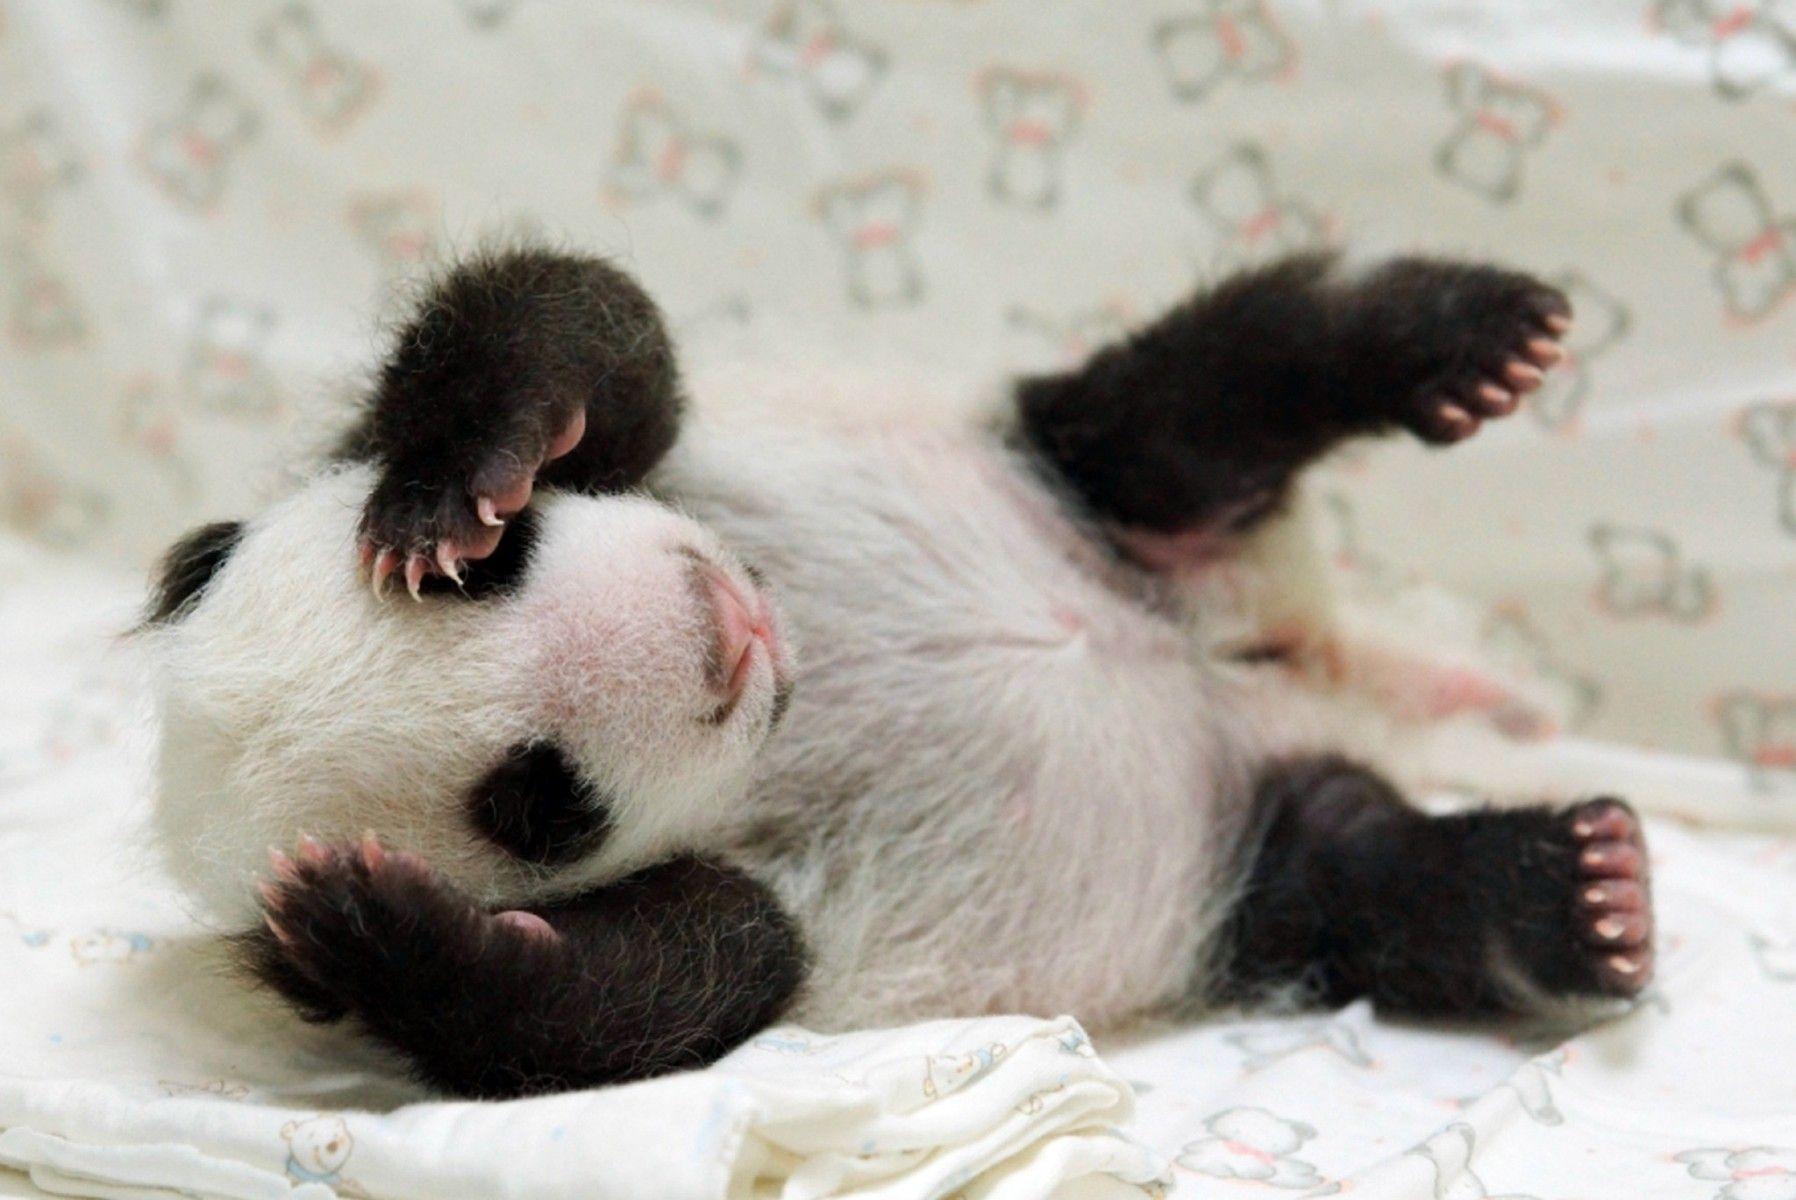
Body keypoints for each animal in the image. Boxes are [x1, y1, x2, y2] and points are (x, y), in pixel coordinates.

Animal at [144, 247, 1654, 1099]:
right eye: (539, 800)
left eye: (508, 568)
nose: (714, 629)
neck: (794, 692)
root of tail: (1285, 666)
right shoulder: (738, 902)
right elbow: (640, 1000)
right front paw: (369, 928)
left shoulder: (664, 458)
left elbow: (585, 331)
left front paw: (454, 483)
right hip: (1243, 872)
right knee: (1363, 881)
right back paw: (1578, 892)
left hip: (1065, 477)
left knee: (1202, 393)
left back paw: (1466, 341)